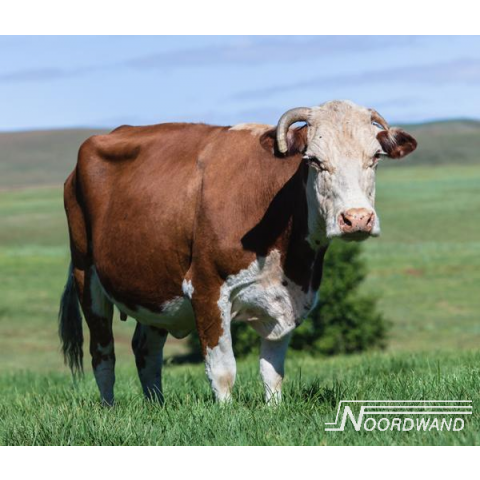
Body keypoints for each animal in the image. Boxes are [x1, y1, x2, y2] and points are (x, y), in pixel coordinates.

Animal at [59, 98, 416, 404]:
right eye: (313, 160)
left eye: (375, 158)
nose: (357, 219)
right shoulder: (206, 287)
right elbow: (223, 369)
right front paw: (226, 414)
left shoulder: (289, 297)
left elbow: (272, 371)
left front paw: (274, 409)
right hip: (86, 276)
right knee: (103, 355)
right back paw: (109, 409)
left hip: (154, 286)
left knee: (145, 350)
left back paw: (156, 406)